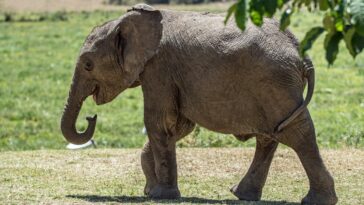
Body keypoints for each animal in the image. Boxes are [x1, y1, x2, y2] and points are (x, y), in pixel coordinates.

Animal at [60, 3, 338, 205]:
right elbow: (179, 125)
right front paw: (150, 190)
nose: (91, 118)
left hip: (274, 83)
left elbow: (159, 122)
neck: (126, 22)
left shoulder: (159, 69)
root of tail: (300, 53)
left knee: (296, 133)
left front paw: (161, 195)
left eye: (88, 64)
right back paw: (242, 194)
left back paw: (316, 200)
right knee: (271, 135)